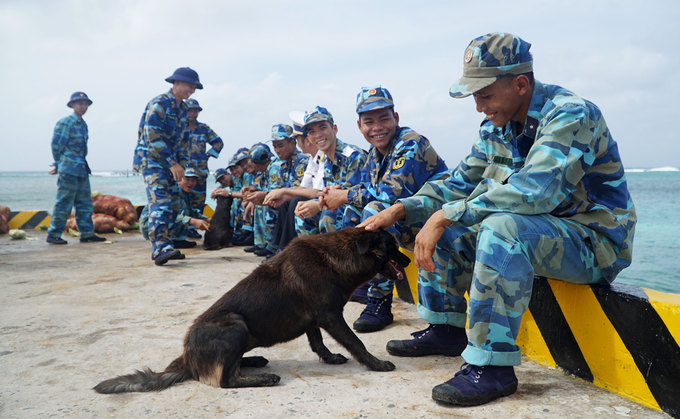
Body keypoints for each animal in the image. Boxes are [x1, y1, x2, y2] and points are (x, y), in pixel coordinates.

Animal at [94, 226, 410, 394]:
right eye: (393, 246)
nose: (409, 261)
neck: (337, 258)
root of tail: (187, 358)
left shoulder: (314, 319)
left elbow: (317, 342)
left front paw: (330, 358)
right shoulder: (331, 317)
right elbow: (356, 343)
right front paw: (376, 364)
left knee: (231, 367)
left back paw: (255, 360)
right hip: (235, 324)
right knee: (225, 379)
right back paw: (263, 378)